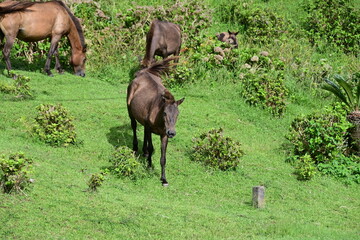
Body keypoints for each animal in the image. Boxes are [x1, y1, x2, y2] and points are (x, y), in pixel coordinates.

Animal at [126, 56, 184, 186]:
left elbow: (163, 157)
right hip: (130, 110)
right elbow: (151, 147)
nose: (172, 132)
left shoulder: (163, 135)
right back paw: (136, 148)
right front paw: (149, 166)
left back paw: (144, 152)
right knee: (134, 126)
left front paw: (164, 179)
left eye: (177, 114)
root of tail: (143, 72)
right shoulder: (150, 128)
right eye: (165, 113)